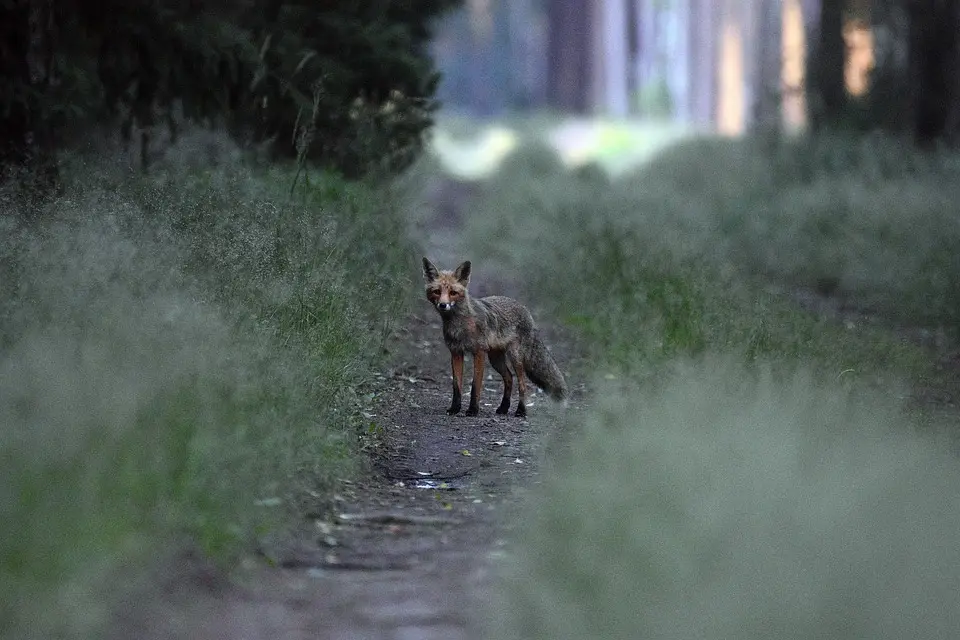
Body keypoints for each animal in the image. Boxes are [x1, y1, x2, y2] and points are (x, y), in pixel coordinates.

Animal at [422, 258, 568, 418]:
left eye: (453, 293)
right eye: (437, 292)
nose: (443, 305)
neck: (460, 325)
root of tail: (525, 309)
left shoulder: (479, 352)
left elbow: (475, 385)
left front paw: (473, 410)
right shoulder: (456, 353)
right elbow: (456, 386)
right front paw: (455, 408)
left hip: (515, 357)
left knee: (523, 385)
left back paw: (521, 411)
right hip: (495, 359)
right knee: (509, 378)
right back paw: (503, 408)